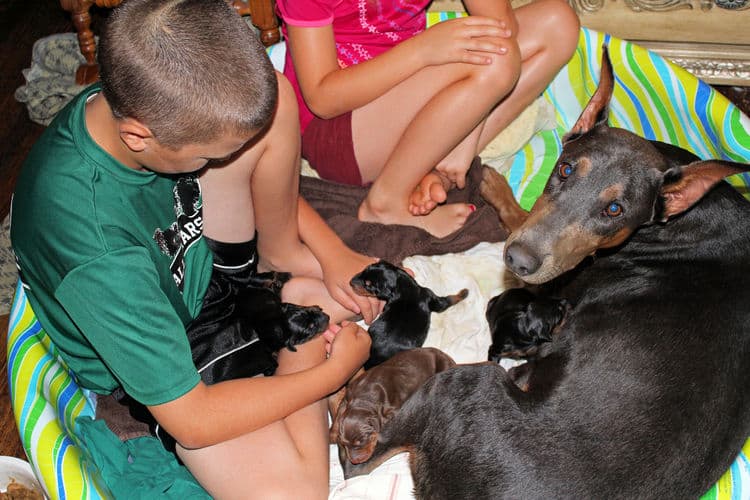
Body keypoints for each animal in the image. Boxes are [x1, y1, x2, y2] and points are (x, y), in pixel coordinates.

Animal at [330, 348, 458, 468]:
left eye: (362, 441)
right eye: (344, 443)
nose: (355, 461)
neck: (363, 400)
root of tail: (446, 356)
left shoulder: (394, 409)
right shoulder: (347, 398)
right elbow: (339, 413)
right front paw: (333, 434)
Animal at [346, 47, 750, 500]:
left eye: (614, 209)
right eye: (567, 169)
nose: (518, 260)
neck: (671, 223)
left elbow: (518, 214)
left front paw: (492, 184)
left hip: (461, 385)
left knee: (364, 458)